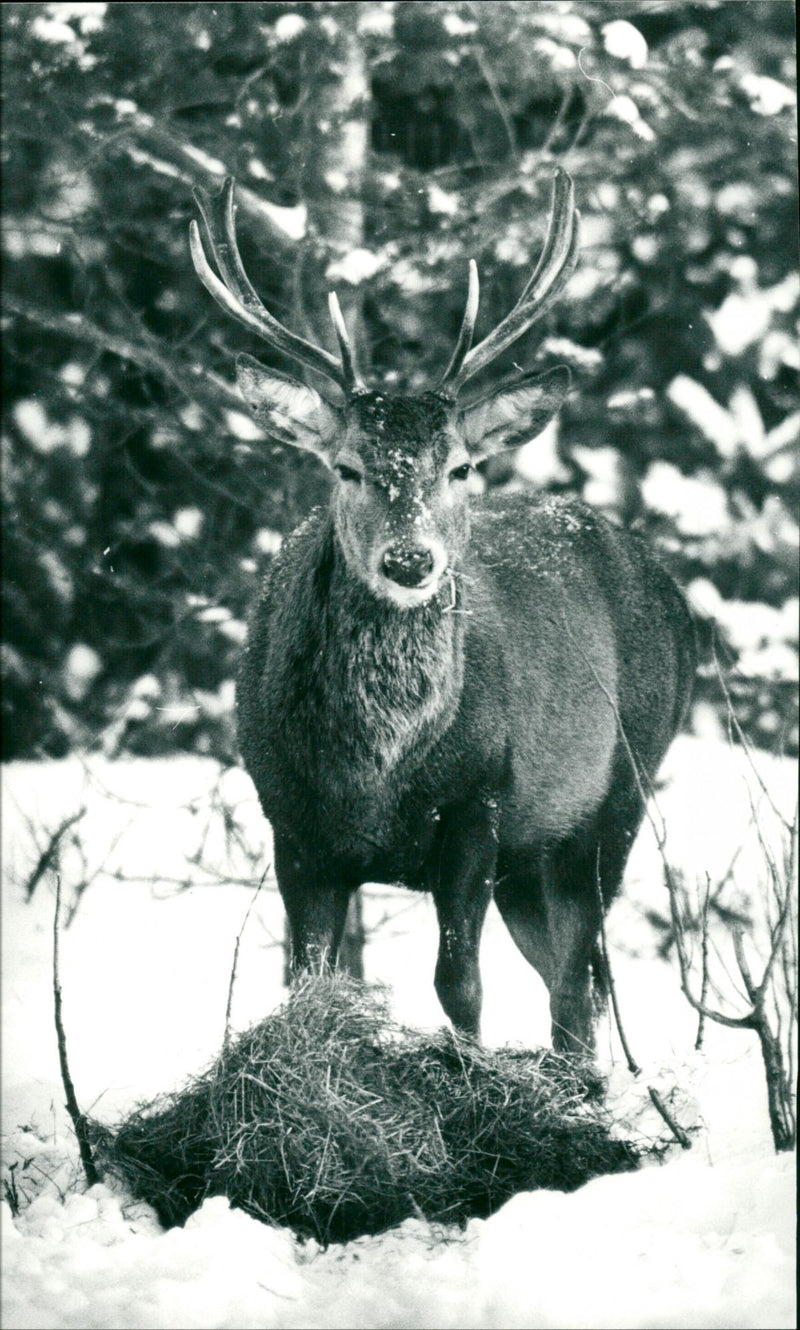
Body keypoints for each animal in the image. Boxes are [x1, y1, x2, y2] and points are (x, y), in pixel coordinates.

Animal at [188, 171, 691, 1053]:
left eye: (459, 467)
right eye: (347, 467)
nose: (410, 560)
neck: (373, 774)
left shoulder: (477, 804)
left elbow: (459, 984)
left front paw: (467, 1071)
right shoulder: (293, 826)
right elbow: (305, 983)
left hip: (619, 796)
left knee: (579, 984)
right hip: (534, 855)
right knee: (571, 986)